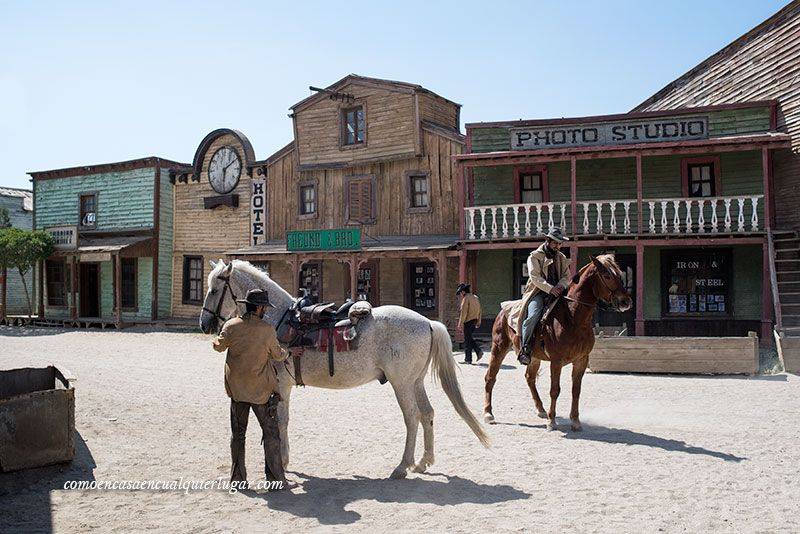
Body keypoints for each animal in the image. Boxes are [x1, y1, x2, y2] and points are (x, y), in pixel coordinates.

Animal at [200, 260, 488, 482]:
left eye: (214, 290)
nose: (204, 324)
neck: (280, 319)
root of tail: (427, 322)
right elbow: (283, 421)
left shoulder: (281, 386)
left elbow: (281, 421)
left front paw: (282, 461)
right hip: (415, 382)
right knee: (427, 414)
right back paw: (423, 462)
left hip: (402, 384)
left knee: (412, 417)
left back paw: (401, 467)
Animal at [482, 255, 632, 432]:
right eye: (607, 276)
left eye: (620, 275)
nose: (625, 301)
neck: (573, 318)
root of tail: (502, 311)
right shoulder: (556, 361)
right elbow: (555, 390)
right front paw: (552, 421)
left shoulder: (582, 360)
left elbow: (576, 390)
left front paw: (575, 421)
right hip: (498, 348)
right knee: (490, 377)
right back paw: (488, 414)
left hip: (533, 357)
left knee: (529, 378)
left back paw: (540, 409)